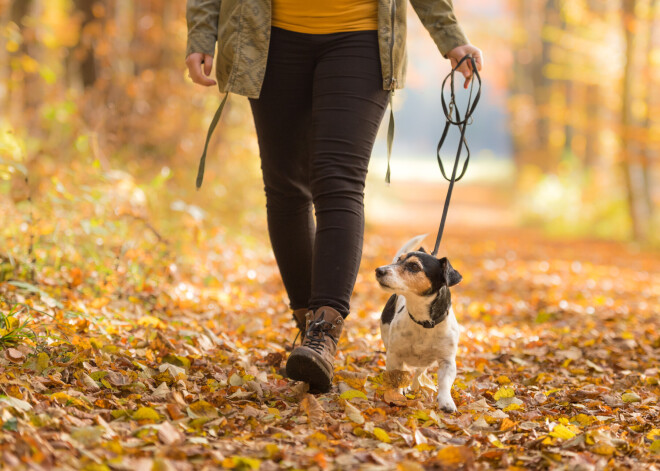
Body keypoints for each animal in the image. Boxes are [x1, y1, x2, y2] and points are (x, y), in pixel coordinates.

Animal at [374, 236, 462, 412]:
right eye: (399, 260)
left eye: (414, 266)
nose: (379, 270)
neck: (424, 323)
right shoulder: (394, 356)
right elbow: (396, 377)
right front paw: (396, 395)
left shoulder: (447, 361)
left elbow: (444, 383)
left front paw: (446, 401)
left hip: (426, 361)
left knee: (419, 372)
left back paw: (415, 386)